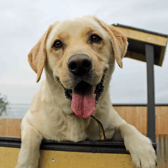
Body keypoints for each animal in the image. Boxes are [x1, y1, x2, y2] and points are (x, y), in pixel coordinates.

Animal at [15, 16, 156, 168]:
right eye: (57, 44)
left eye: (95, 38)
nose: (79, 64)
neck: (76, 117)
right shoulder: (28, 121)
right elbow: (31, 137)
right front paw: (26, 163)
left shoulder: (112, 125)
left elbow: (126, 125)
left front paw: (142, 148)